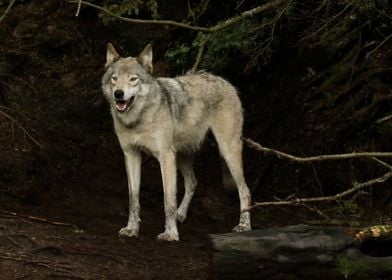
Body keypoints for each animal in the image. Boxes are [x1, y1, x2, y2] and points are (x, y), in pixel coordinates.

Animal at [101, 43, 253, 241]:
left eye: (133, 79)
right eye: (114, 78)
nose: (119, 94)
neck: (138, 121)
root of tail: (225, 82)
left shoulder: (165, 157)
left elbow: (168, 200)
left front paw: (170, 233)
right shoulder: (131, 155)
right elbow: (133, 198)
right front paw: (132, 229)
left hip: (227, 151)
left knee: (245, 190)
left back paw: (244, 225)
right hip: (181, 157)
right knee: (193, 182)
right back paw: (181, 215)